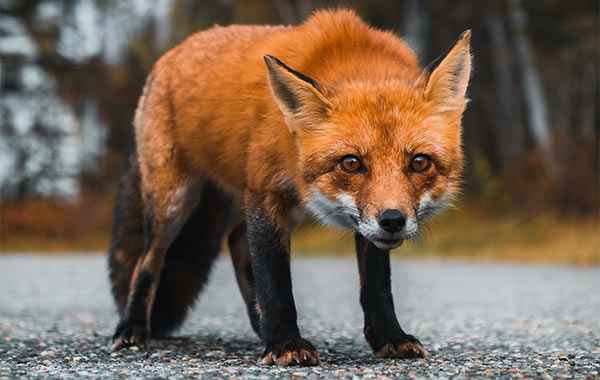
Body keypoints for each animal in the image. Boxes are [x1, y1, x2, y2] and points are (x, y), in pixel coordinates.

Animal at [109, 8, 474, 366]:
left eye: (420, 162)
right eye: (351, 163)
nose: (393, 220)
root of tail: (171, 53)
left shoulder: (360, 222)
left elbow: (376, 284)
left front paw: (389, 338)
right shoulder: (264, 191)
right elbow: (275, 279)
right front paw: (285, 343)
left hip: (297, 206)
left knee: (237, 241)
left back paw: (259, 326)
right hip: (173, 203)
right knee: (149, 260)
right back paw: (132, 328)